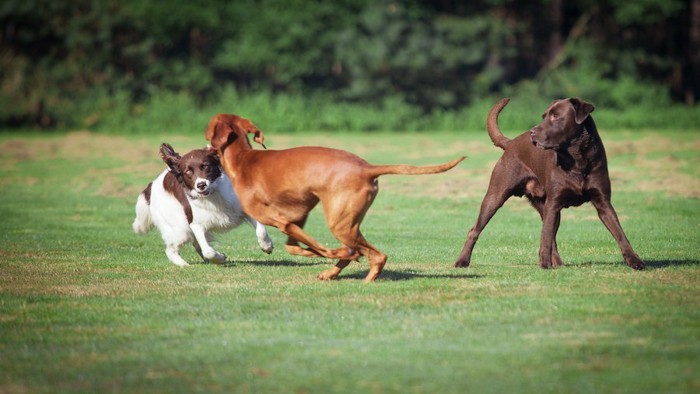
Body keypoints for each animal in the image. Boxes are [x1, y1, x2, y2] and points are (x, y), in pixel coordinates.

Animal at [133, 143, 274, 266]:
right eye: (188, 171)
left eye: (205, 166)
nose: (201, 185)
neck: (213, 195)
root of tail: (150, 187)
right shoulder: (196, 224)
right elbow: (208, 251)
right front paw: (220, 258)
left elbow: (261, 231)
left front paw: (267, 246)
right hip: (180, 229)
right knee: (171, 250)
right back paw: (184, 265)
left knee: (196, 246)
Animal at [205, 115, 462, 282]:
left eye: (208, 129)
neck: (243, 159)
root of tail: (367, 168)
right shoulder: (298, 218)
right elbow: (295, 248)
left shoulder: (281, 221)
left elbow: (318, 249)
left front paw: (334, 253)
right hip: (347, 222)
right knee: (362, 251)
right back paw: (335, 271)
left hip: (339, 223)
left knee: (376, 255)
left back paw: (363, 275)